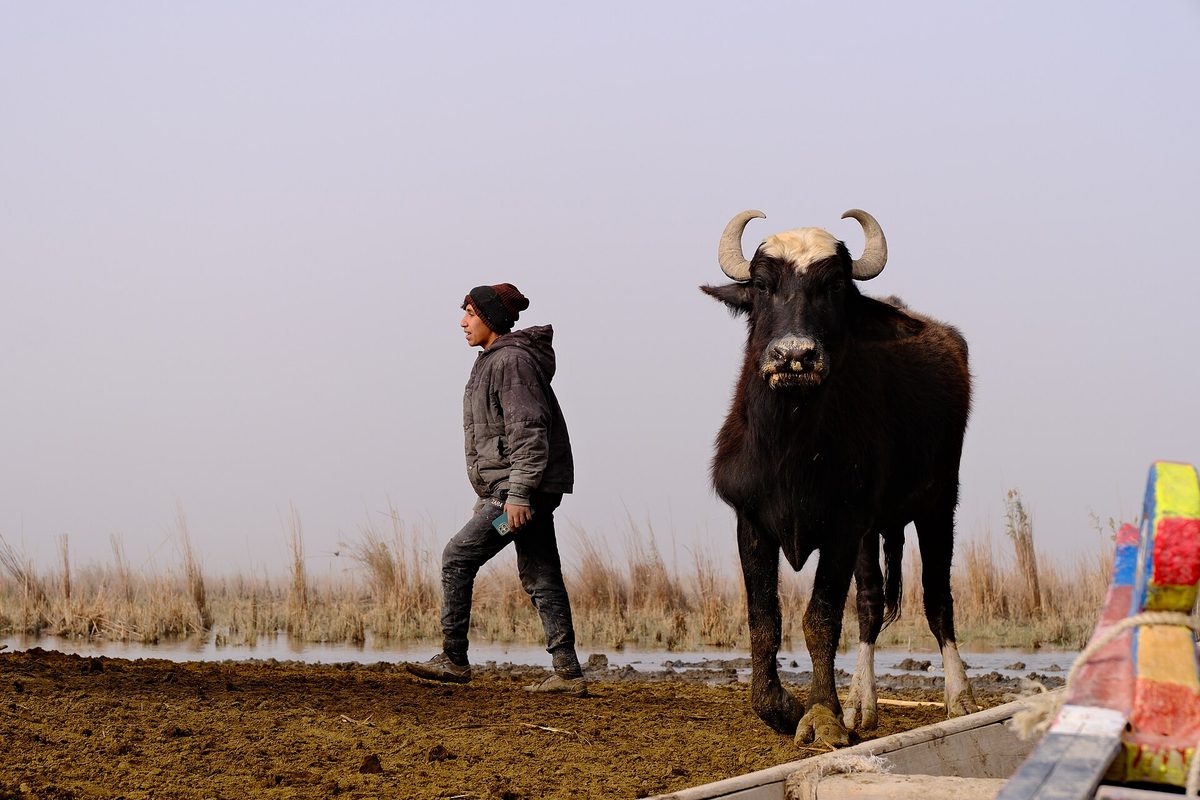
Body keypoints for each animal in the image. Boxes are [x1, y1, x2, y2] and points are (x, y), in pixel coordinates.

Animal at [703, 209, 976, 746]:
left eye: (832, 287)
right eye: (762, 285)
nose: (795, 356)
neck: (789, 447)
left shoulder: (844, 526)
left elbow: (821, 619)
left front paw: (821, 716)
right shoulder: (751, 521)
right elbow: (764, 620)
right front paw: (783, 709)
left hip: (939, 503)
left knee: (938, 597)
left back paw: (958, 698)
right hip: (875, 530)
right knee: (870, 603)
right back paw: (862, 706)